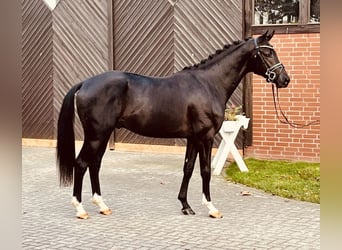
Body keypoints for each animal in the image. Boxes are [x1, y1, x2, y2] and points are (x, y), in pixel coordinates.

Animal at [56, 30, 288, 219]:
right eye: (267, 53)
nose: (285, 79)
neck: (208, 83)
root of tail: (85, 83)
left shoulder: (193, 137)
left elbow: (188, 168)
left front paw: (185, 205)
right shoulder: (206, 136)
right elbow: (205, 170)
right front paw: (211, 208)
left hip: (102, 135)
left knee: (95, 164)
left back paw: (102, 205)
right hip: (96, 135)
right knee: (81, 164)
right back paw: (80, 209)